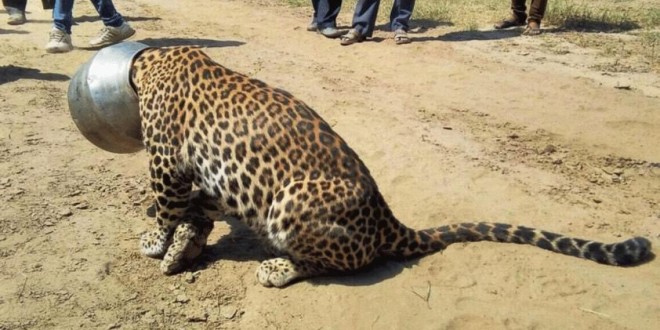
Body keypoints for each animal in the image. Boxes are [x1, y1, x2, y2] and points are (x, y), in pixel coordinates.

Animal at [129, 45, 648, 286]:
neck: (154, 59)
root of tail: (386, 218)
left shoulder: (165, 161)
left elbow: (165, 206)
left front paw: (156, 241)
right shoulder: (211, 178)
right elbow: (196, 208)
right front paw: (183, 245)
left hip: (292, 201)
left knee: (337, 263)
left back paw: (278, 267)